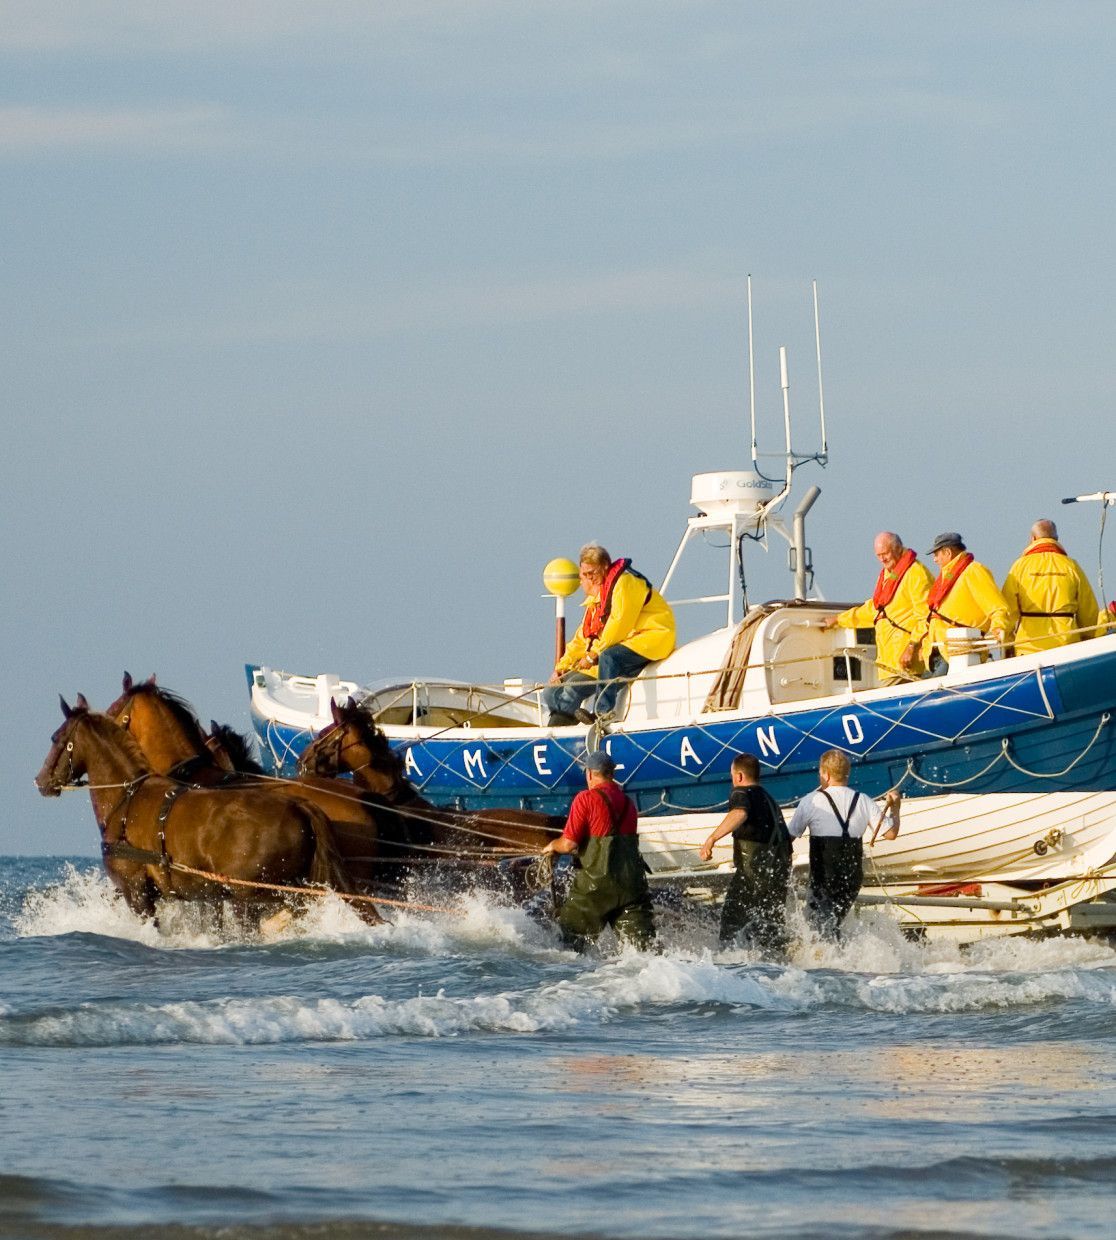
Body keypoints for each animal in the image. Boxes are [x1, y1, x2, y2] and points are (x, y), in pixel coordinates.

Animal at [34, 694, 379, 927]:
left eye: (55, 738)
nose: (41, 780)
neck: (128, 797)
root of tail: (304, 808)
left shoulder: (136, 891)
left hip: (254, 894)